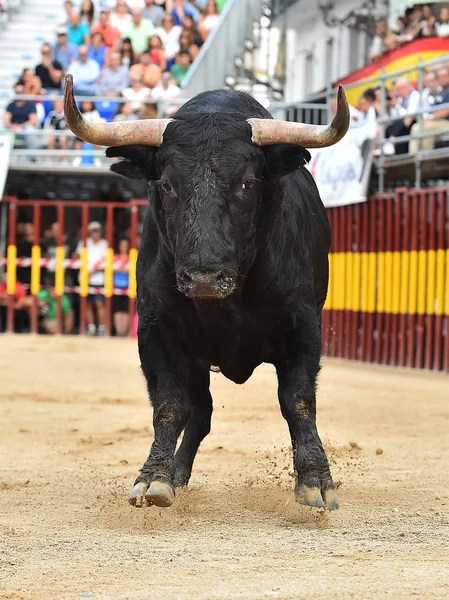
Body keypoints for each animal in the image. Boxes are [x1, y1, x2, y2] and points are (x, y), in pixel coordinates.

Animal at [65, 82, 350, 508]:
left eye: (247, 183)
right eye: (166, 184)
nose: (203, 278)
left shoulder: (303, 327)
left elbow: (298, 400)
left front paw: (316, 480)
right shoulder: (156, 330)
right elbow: (169, 405)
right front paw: (154, 477)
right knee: (201, 412)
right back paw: (177, 473)